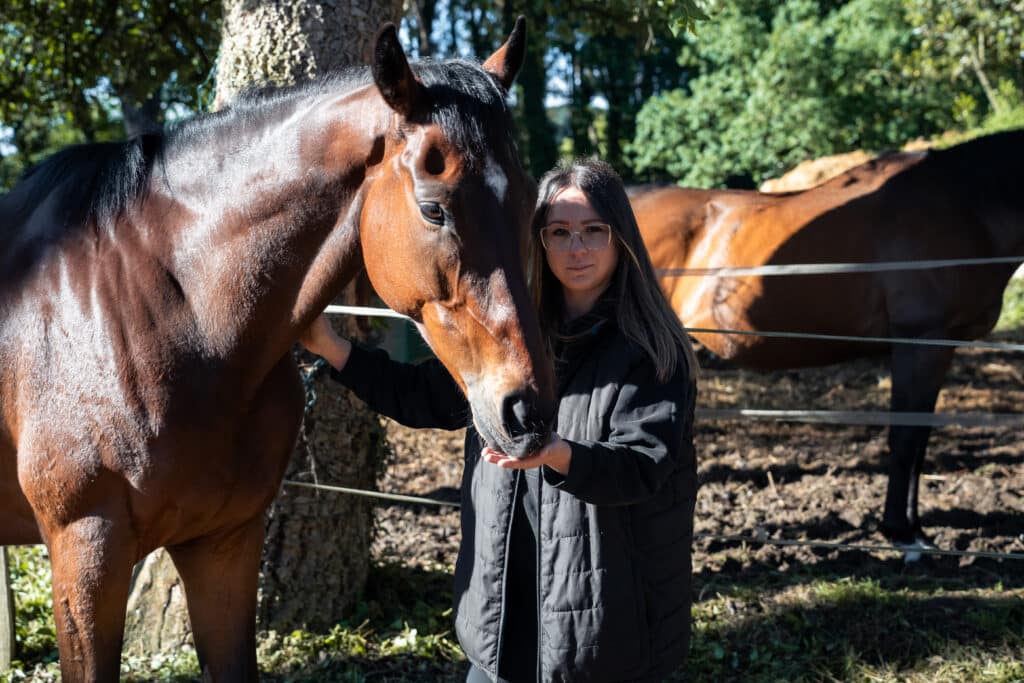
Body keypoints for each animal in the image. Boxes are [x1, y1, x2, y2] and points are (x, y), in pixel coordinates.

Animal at [629, 129, 1024, 551]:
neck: (965, 205)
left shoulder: (940, 349)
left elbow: (919, 439)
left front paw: (915, 528)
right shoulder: (920, 343)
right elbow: (905, 438)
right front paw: (901, 532)